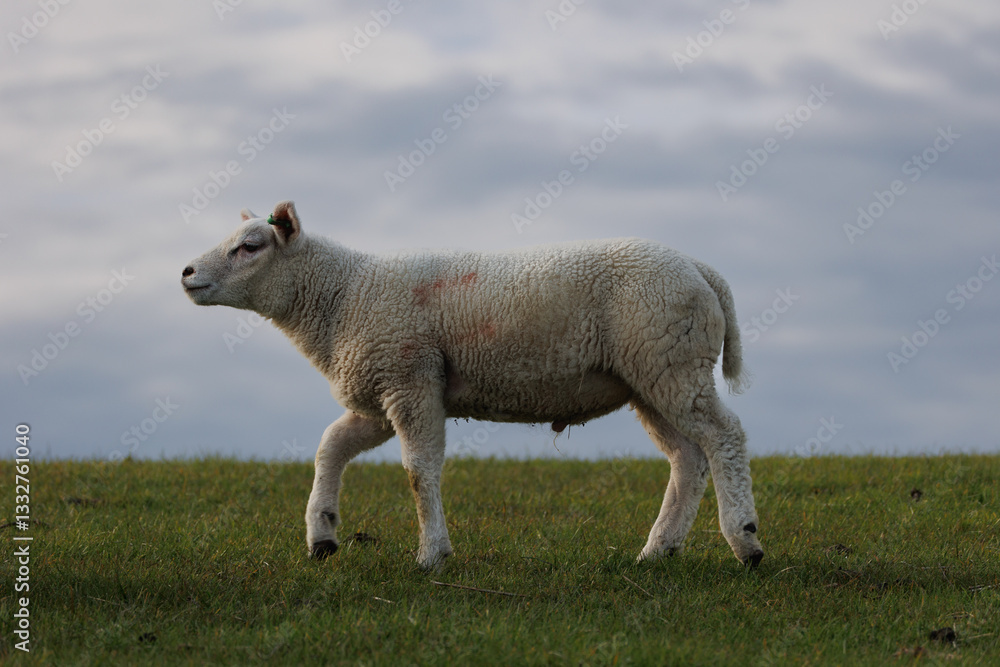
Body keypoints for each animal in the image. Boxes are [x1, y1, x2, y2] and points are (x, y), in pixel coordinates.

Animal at [181, 201, 763, 570]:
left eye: (250, 246)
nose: (186, 273)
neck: (343, 295)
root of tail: (700, 268)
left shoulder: (410, 378)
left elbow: (419, 471)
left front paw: (431, 556)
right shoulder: (379, 392)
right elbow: (331, 447)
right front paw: (322, 535)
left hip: (671, 362)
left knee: (725, 437)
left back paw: (746, 541)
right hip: (652, 377)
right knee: (688, 458)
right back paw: (657, 552)